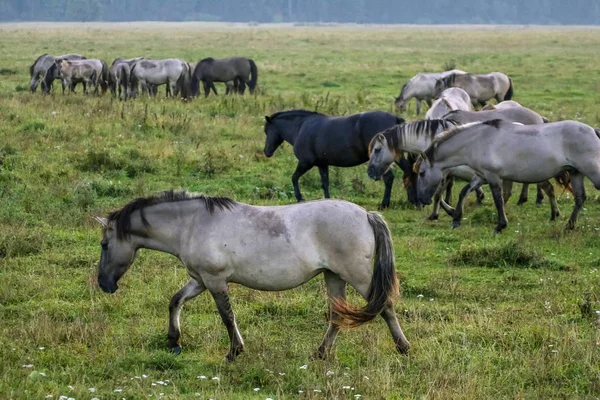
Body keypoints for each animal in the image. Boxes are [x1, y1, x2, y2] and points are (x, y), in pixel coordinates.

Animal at [95, 191, 412, 362]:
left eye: (104, 244)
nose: (104, 285)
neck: (192, 224)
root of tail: (367, 214)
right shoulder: (200, 279)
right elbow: (175, 301)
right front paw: (174, 340)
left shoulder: (214, 280)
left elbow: (227, 316)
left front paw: (234, 352)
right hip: (333, 276)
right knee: (337, 316)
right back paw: (320, 354)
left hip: (357, 275)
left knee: (386, 307)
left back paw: (404, 348)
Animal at [262, 109, 404, 209]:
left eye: (266, 131)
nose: (266, 151)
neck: (301, 127)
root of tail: (395, 119)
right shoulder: (322, 164)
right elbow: (325, 183)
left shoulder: (306, 162)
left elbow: (294, 177)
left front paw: (300, 198)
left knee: (390, 178)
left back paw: (385, 204)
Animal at [414, 119, 596, 231]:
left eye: (422, 173)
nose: (422, 199)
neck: (478, 140)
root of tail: (594, 131)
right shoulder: (481, 176)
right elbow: (464, 191)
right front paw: (456, 219)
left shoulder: (493, 177)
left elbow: (498, 199)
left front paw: (501, 225)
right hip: (576, 174)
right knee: (580, 198)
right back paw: (569, 225)